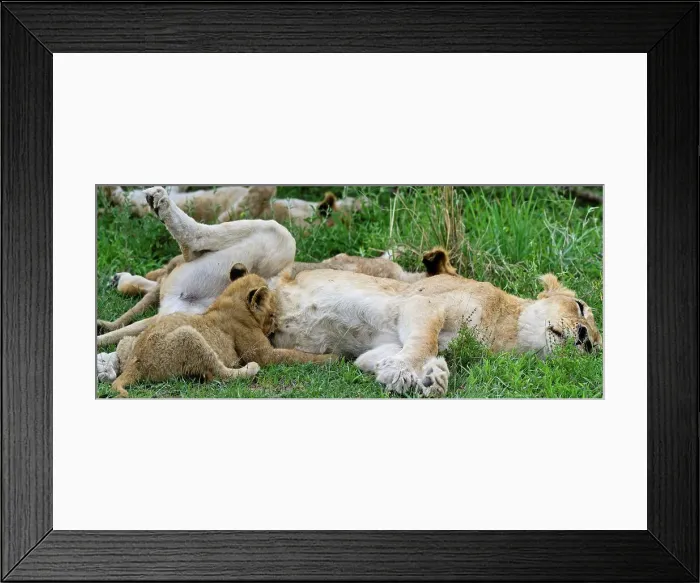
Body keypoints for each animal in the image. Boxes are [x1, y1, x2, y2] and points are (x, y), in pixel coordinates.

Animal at [110, 264, 335, 397]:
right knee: (217, 374)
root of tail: (135, 364)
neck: (229, 301)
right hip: (190, 336)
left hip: (129, 340)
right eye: (272, 315)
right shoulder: (263, 354)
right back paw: (250, 369)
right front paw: (331, 358)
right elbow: (294, 355)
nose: (274, 327)